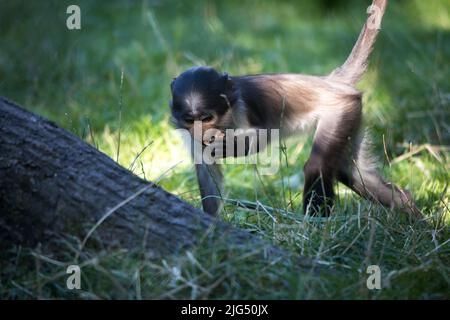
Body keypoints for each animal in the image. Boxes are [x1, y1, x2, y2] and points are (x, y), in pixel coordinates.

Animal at [168, 0, 422, 219]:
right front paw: (211, 222)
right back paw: (412, 213)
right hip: (354, 114)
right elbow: (206, 173)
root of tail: (332, 81)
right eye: (191, 120)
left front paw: (230, 146)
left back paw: (315, 227)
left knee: (318, 166)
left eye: (207, 118)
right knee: (349, 170)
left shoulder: (242, 106)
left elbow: (263, 136)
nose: (201, 133)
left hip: (341, 109)